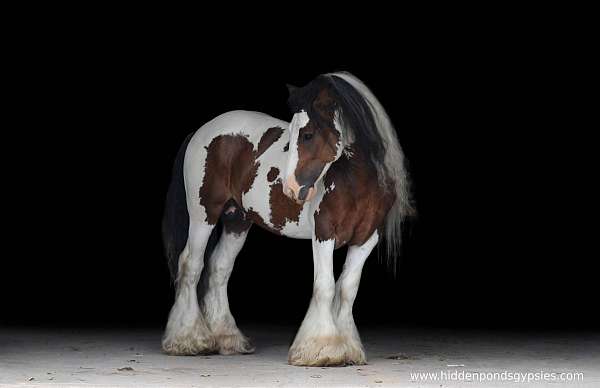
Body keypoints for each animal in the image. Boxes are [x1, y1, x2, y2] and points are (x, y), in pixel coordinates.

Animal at [159, 72, 412, 366]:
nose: (290, 188)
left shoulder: (366, 238)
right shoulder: (324, 233)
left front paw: (348, 348)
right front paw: (321, 349)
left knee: (219, 269)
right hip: (203, 215)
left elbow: (347, 289)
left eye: (308, 134)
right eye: (291, 135)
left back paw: (228, 339)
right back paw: (188, 340)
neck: (358, 181)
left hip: (237, 221)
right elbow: (325, 286)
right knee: (191, 265)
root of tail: (202, 130)